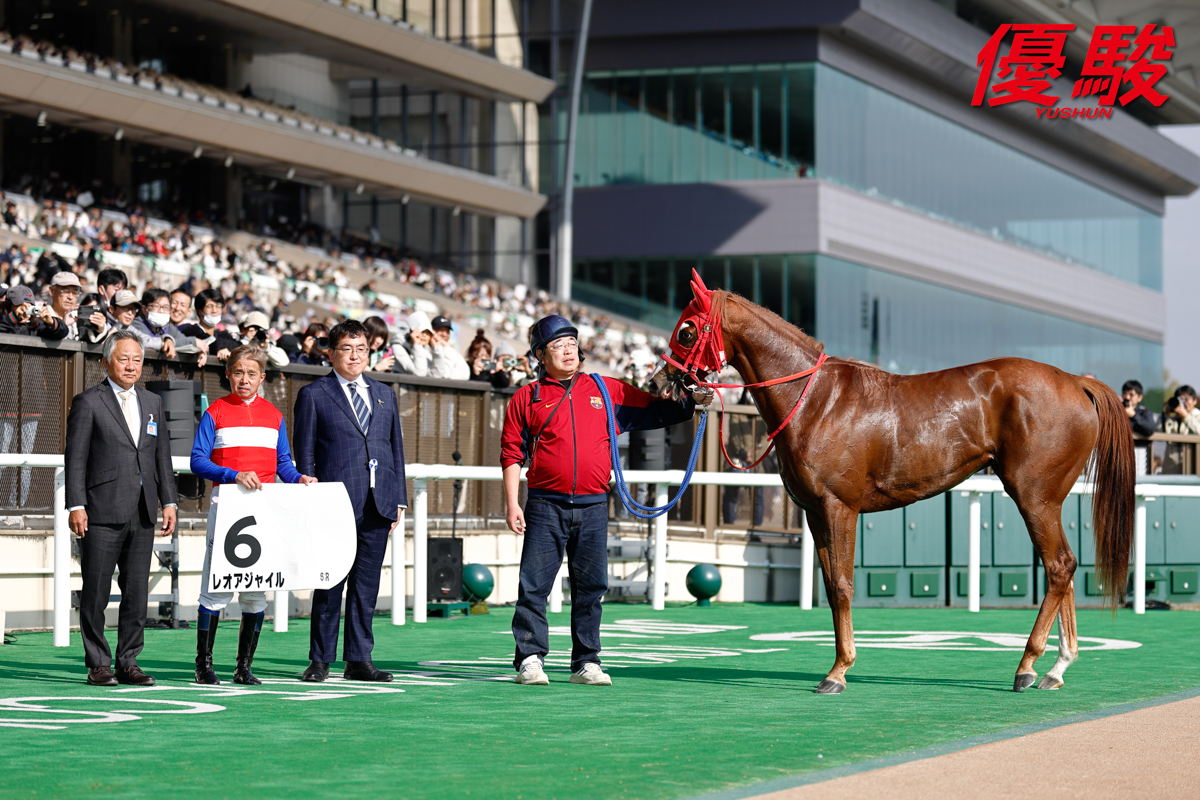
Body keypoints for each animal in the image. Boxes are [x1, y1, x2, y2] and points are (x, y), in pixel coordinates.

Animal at [651, 270, 1134, 694]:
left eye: (687, 331)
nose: (658, 384)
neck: (817, 400)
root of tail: (1077, 382)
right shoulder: (815, 514)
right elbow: (831, 588)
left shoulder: (839, 507)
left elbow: (843, 586)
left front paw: (838, 672)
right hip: (1048, 499)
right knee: (1065, 568)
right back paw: (1057, 667)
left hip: (1033, 496)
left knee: (1059, 566)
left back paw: (1028, 666)